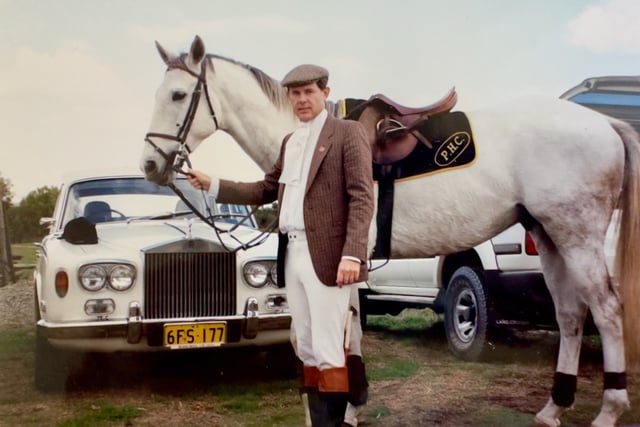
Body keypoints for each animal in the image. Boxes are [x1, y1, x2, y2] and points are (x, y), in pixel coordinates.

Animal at [140, 36, 640, 427]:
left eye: (179, 95)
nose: (148, 165)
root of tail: (604, 124)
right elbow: (349, 332)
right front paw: (351, 402)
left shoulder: (342, 261)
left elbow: (343, 334)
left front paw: (346, 407)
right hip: (553, 238)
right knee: (571, 315)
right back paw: (554, 407)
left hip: (576, 237)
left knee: (606, 311)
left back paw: (608, 410)